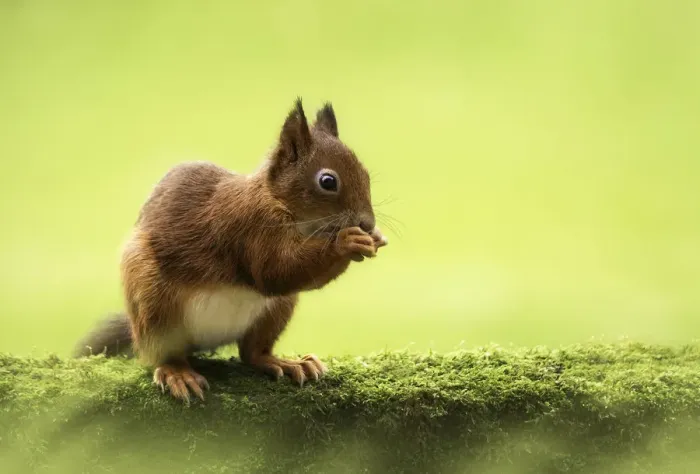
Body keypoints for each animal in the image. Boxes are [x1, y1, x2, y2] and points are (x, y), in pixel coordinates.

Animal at [74, 98, 388, 402]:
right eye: (328, 181)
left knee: (252, 353)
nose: (367, 223)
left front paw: (373, 238)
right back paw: (177, 372)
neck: (278, 200)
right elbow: (276, 272)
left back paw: (285, 363)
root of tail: (206, 342)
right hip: (152, 304)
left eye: (366, 174)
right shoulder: (249, 228)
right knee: (159, 354)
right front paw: (348, 242)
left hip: (276, 311)